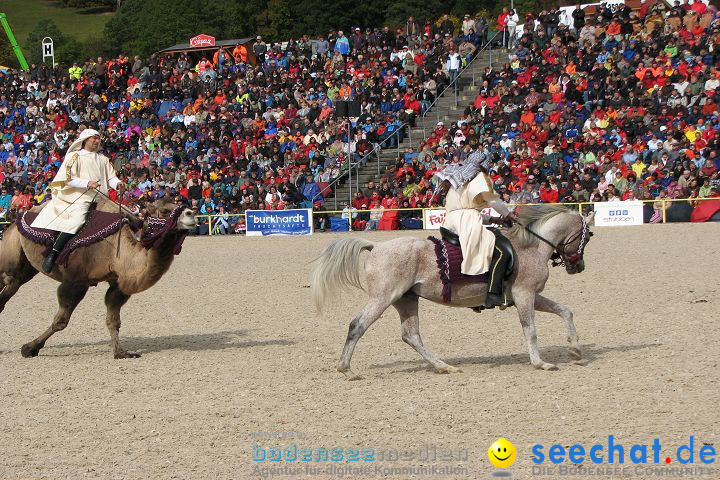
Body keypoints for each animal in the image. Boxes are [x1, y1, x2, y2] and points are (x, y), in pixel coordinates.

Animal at [310, 205, 596, 378]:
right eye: (589, 235)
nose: (579, 266)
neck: (532, 247)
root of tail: (376, 247)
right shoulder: (524, 296)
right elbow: (531, 330)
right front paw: (541, 362)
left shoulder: (530, 296)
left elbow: (565, 311)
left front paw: (575, 350)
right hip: (382, 299)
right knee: (357, 325)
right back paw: (346, 369)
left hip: (406, 300)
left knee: (411, 335)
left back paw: (443, 366)